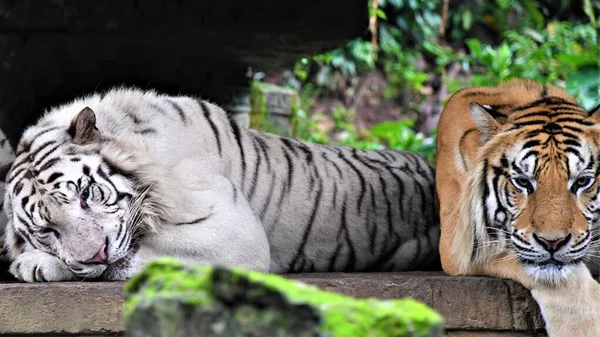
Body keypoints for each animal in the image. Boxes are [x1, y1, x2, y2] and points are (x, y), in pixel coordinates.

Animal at [2, 86, 438, 280]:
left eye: (87, 194)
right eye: (47, 229)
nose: (96, 255)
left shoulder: (237, 234)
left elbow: (150, 254)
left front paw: (33, 263)